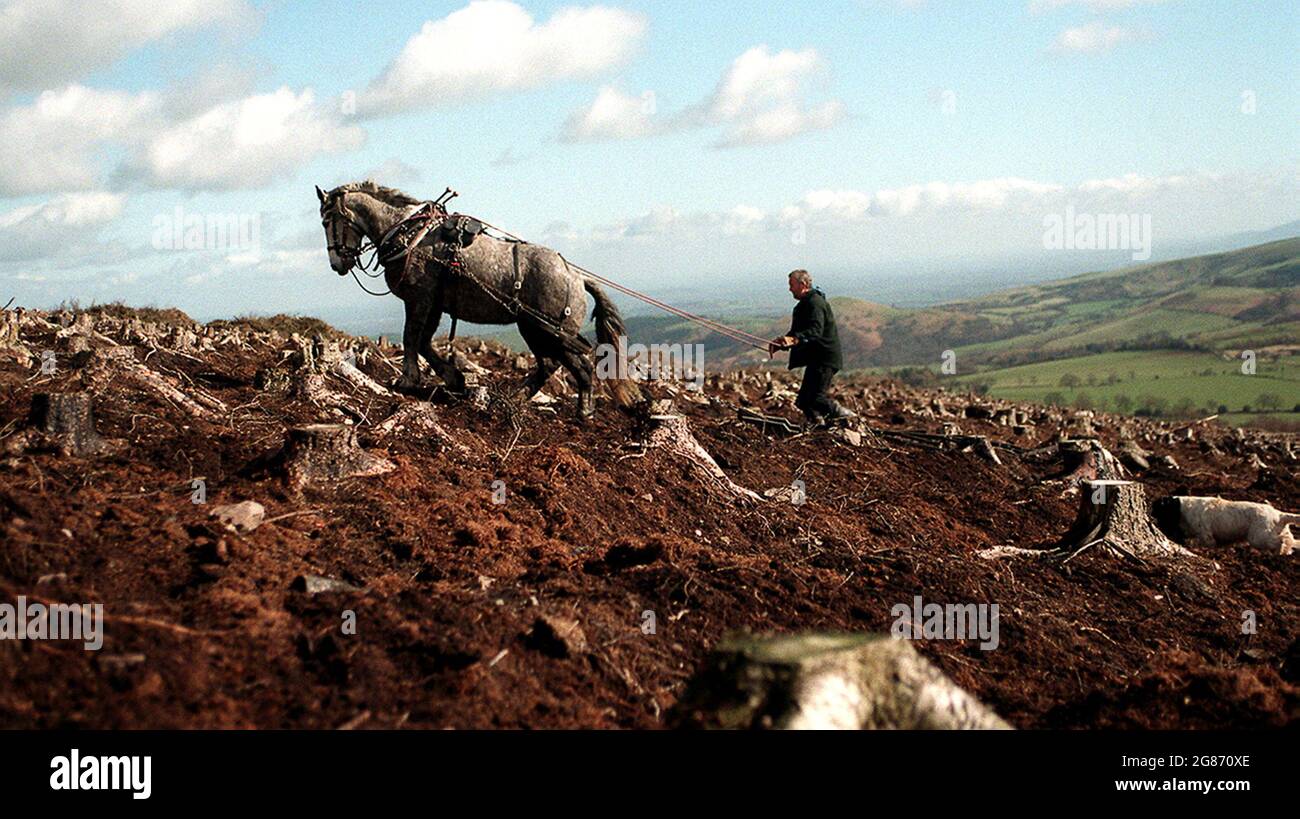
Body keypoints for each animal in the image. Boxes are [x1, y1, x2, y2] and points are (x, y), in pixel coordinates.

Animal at [315, 183, 639, 421]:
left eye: (327, 221)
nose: (336, 263)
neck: (408, 234)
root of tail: (576, 277)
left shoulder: (419, 299)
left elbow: (410, 338)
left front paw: (409, 379)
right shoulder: (434, 305)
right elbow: (424, 342)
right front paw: (453, 378)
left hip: (546, 330)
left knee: (576, 365)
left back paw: (583, 410)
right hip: (536, 330)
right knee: (549, 365)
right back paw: (517, 397)